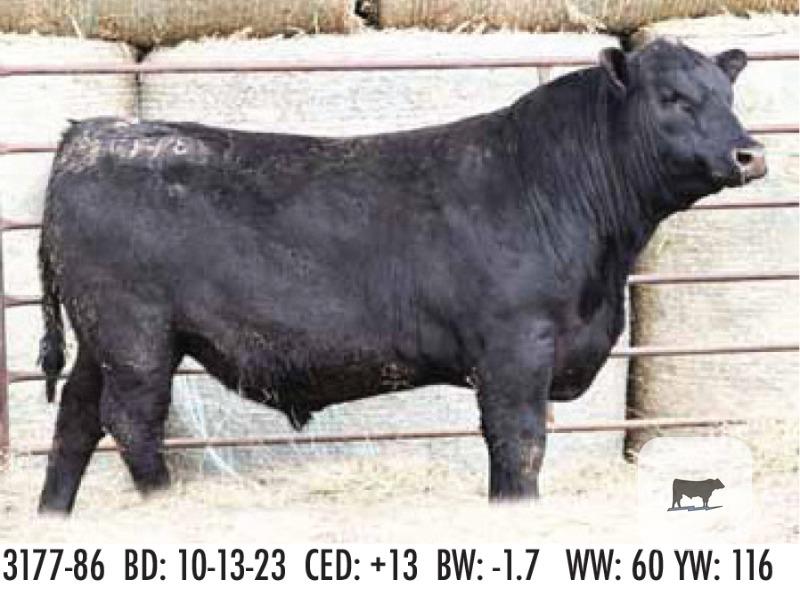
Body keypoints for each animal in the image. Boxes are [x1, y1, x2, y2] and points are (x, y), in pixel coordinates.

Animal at [36, 39, 766, 513]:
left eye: (728, 94)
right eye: (672, 97)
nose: (749, 153)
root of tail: (88, 135)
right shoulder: (515, 349)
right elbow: (519, 446)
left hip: (102, 338)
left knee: (76, 418)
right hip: (135, 334)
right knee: (129, 419)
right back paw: (168, 505)